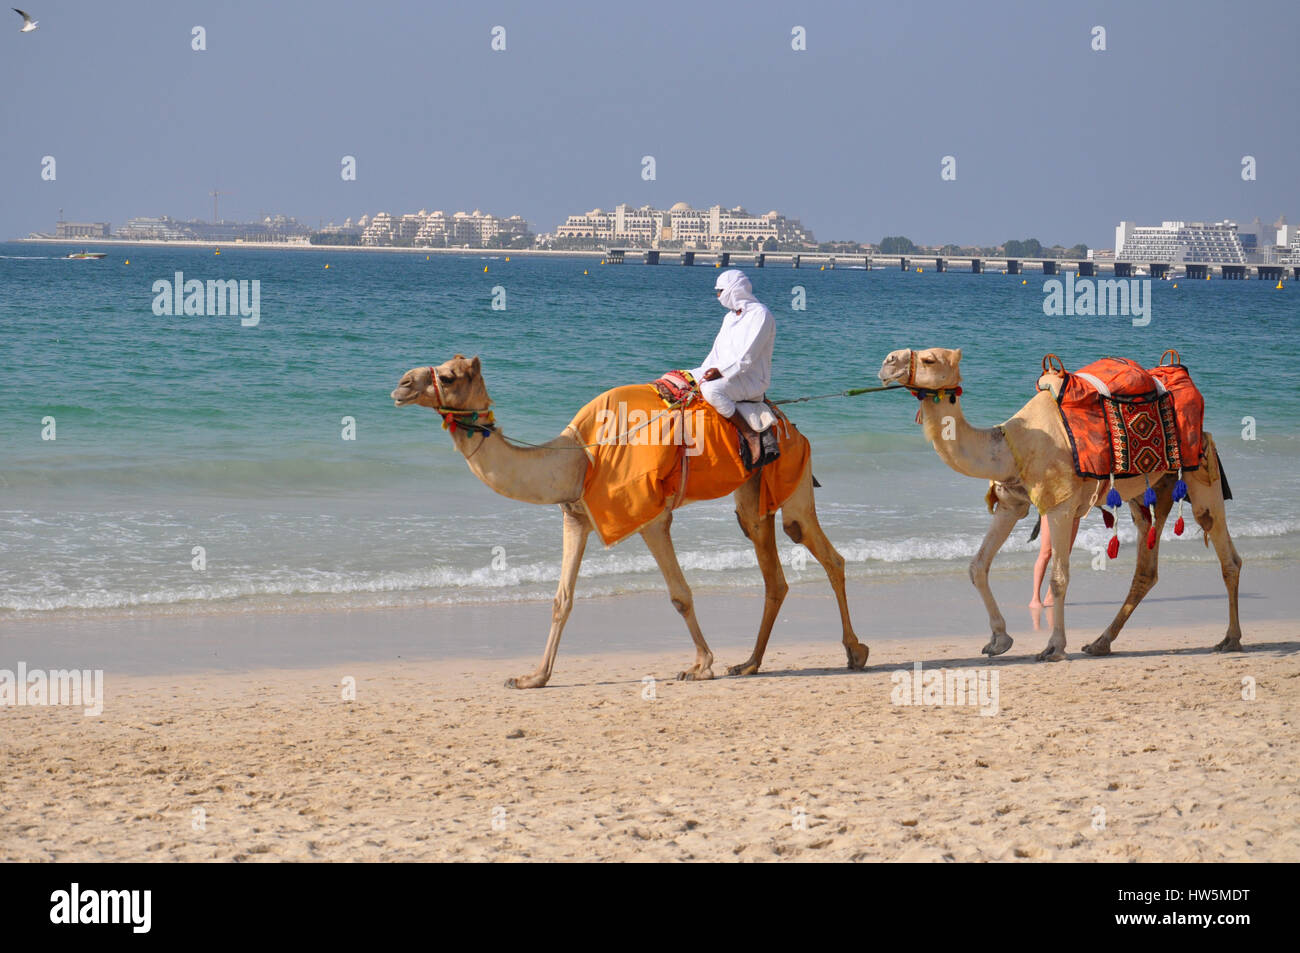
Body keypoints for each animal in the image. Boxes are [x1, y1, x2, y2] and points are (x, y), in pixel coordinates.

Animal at [390, 353, 868, 686]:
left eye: (448, 376)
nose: (401, 384)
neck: (580, 459)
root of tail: (790, 421)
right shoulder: (576, 517)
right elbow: (562, 599)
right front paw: (532, 677)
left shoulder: (650, 518)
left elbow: (680, 595)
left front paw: (700, 666)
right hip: (753, 494)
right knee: (773, 570)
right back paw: (750, 663)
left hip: (792, 476)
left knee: (815, 544)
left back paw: (854, 652)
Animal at [873, 343, 1237, 660]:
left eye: (930, 359)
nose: (887, 361)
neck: (1008, 449)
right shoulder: (1011, 503)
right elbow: (978, 566)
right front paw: (999, 640)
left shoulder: (1060, 505)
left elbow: (1059, 577)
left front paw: (1053, 647)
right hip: (1152, 489)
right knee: (1146, 567)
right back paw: (1100, 643)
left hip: (1200, 469)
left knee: (1226, 553)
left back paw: (1230, 639)